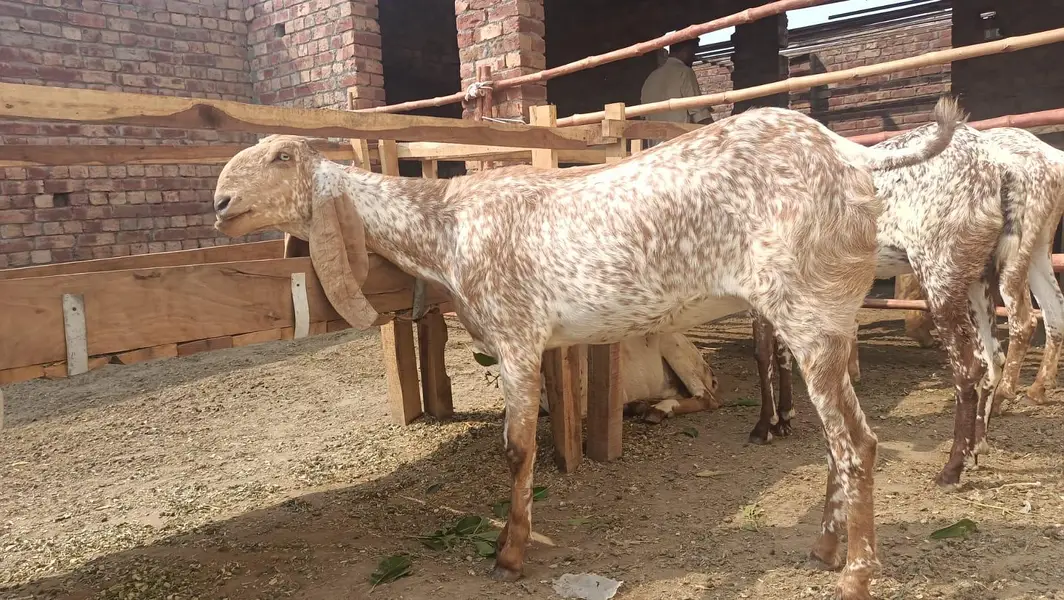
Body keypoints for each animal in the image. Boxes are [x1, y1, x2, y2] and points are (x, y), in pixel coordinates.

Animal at [212, 99, 961, 599]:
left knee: (857, 442)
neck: (447, 225)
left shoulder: (515, 335)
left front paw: (510, 552)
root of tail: (854, 154)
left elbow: (516, 449)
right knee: (839, 439)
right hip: (827, 317)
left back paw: (856, 573)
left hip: (808, 309)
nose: (220, 203)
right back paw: (825, 547)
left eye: (280, 157)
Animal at [751, 117, 1015, 488]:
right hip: (980, 276)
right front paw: (784, 418)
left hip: (940, 272)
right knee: (993, 357)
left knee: (969, 365)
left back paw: (950, 469)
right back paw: (976, 449)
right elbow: (782, 353)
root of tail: (994, 169)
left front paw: (764, 426)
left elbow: (764, 354)